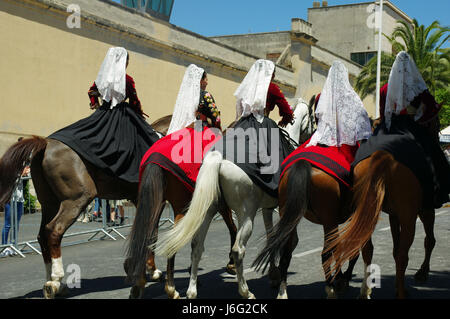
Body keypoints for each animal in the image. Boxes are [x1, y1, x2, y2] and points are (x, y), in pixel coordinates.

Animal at [155, 100, 312, 300]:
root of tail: (217, 158)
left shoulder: (268, 208)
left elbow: (271, 236)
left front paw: (274, 275)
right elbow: (285, 240)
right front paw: (277, 277)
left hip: (207, 210)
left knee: (197, 245)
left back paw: (191, 291)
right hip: (246, 214)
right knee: (238, 250)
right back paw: (245, 291)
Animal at [251, 161, 364, 298]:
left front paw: (341, 279)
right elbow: (354, 250)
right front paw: (343, 279)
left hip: (290, 217)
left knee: (285, 257)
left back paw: (282, 292)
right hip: (329, 221)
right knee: (326, 254)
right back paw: (331, 289)